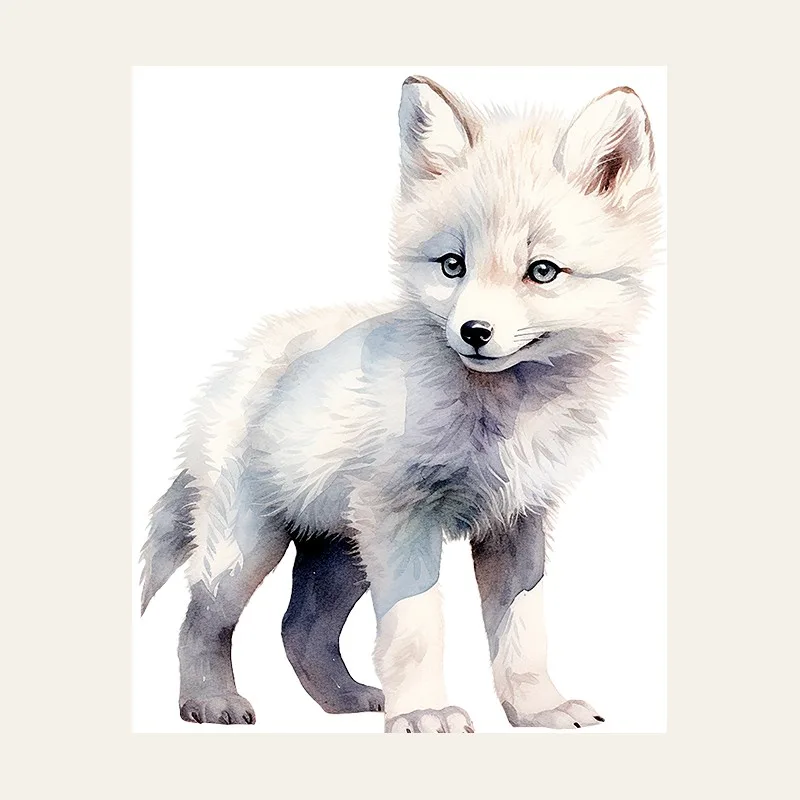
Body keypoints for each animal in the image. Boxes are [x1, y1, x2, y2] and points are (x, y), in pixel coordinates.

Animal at [140, 75, 662, 733]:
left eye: (542, 271)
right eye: (452, 265)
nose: (473, 332)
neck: (498, 420)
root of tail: (235, 366)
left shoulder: (517, 523)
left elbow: (523, 637)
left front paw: (537, 709)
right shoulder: (402, 519)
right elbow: (416, 632)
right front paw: (426, 713)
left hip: (341, 553)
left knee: (299, 629)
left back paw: (345, 701)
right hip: (248, 547)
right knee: (201, 618)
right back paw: (209, 701)